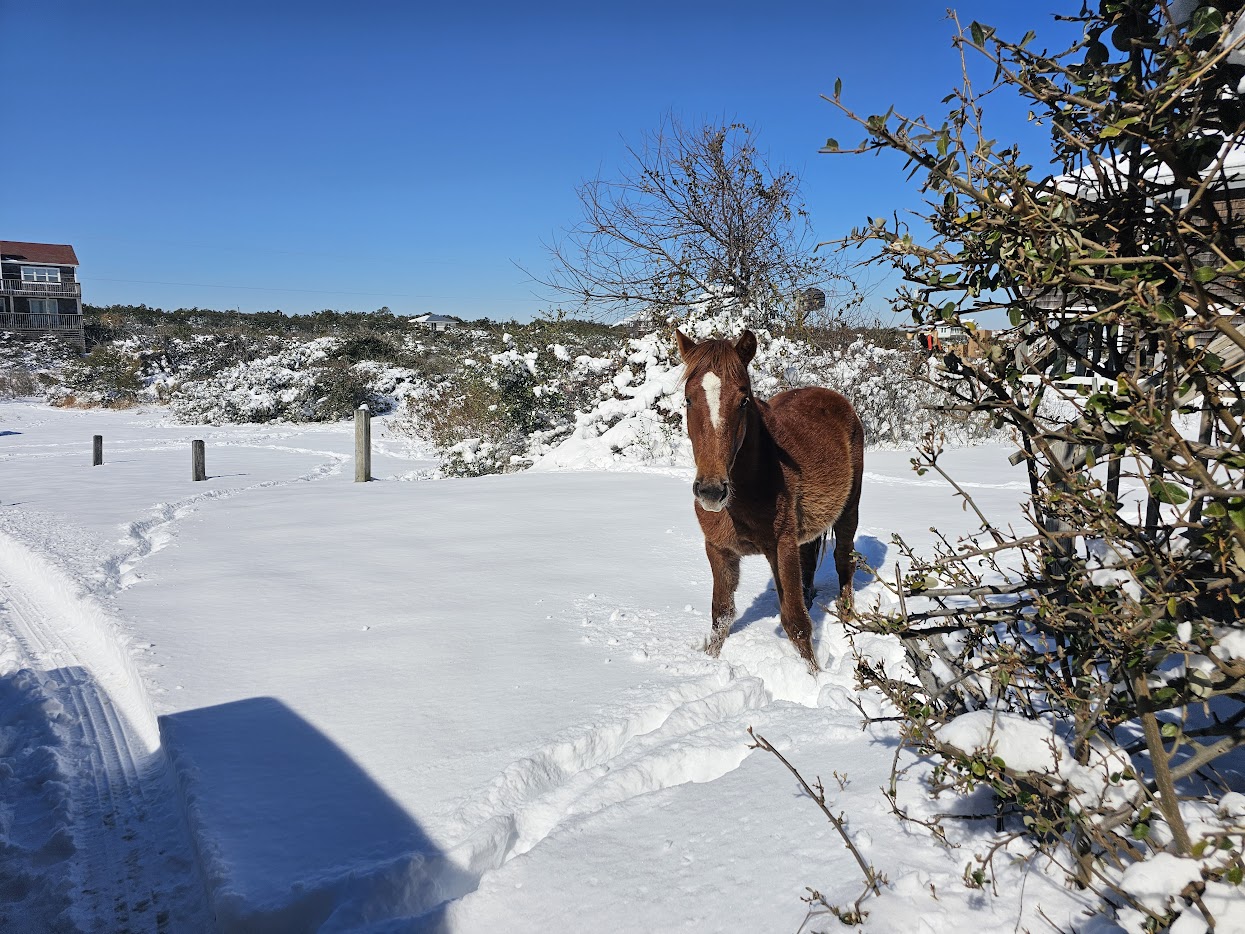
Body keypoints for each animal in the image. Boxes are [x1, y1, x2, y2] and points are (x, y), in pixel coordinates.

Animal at [675, 328, 864, 672]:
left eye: (743, 400)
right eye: (688, 399)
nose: (711, 491)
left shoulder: (782, 546)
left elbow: (796, 624)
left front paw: (814, 677)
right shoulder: (718, 549)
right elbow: (721, 615)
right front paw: (709, 662)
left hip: (849, 510)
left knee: (844, 559)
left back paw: (848, 618)